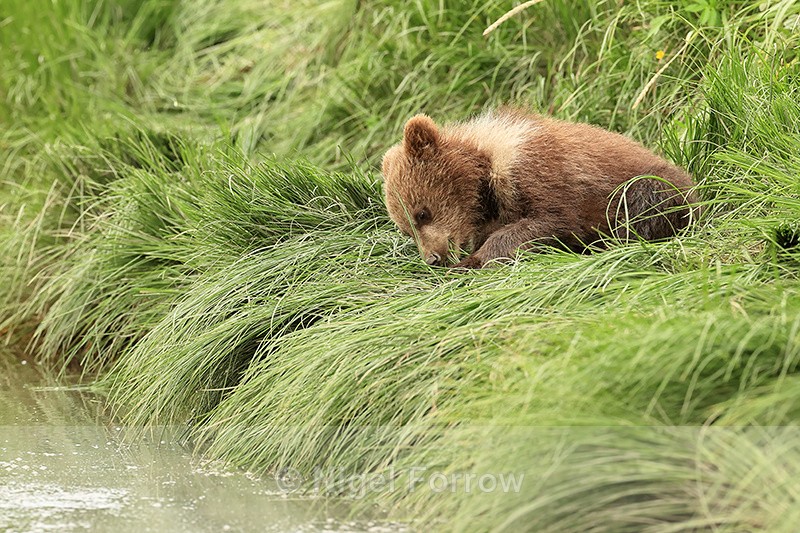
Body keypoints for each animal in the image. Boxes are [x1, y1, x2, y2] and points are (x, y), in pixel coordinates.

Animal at [381, 108, 698, 268]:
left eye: (422, 213)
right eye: (406, 230)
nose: (432, 258)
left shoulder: (539, 170)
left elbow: (551, 220)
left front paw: (475, 260)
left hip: (654, 186)